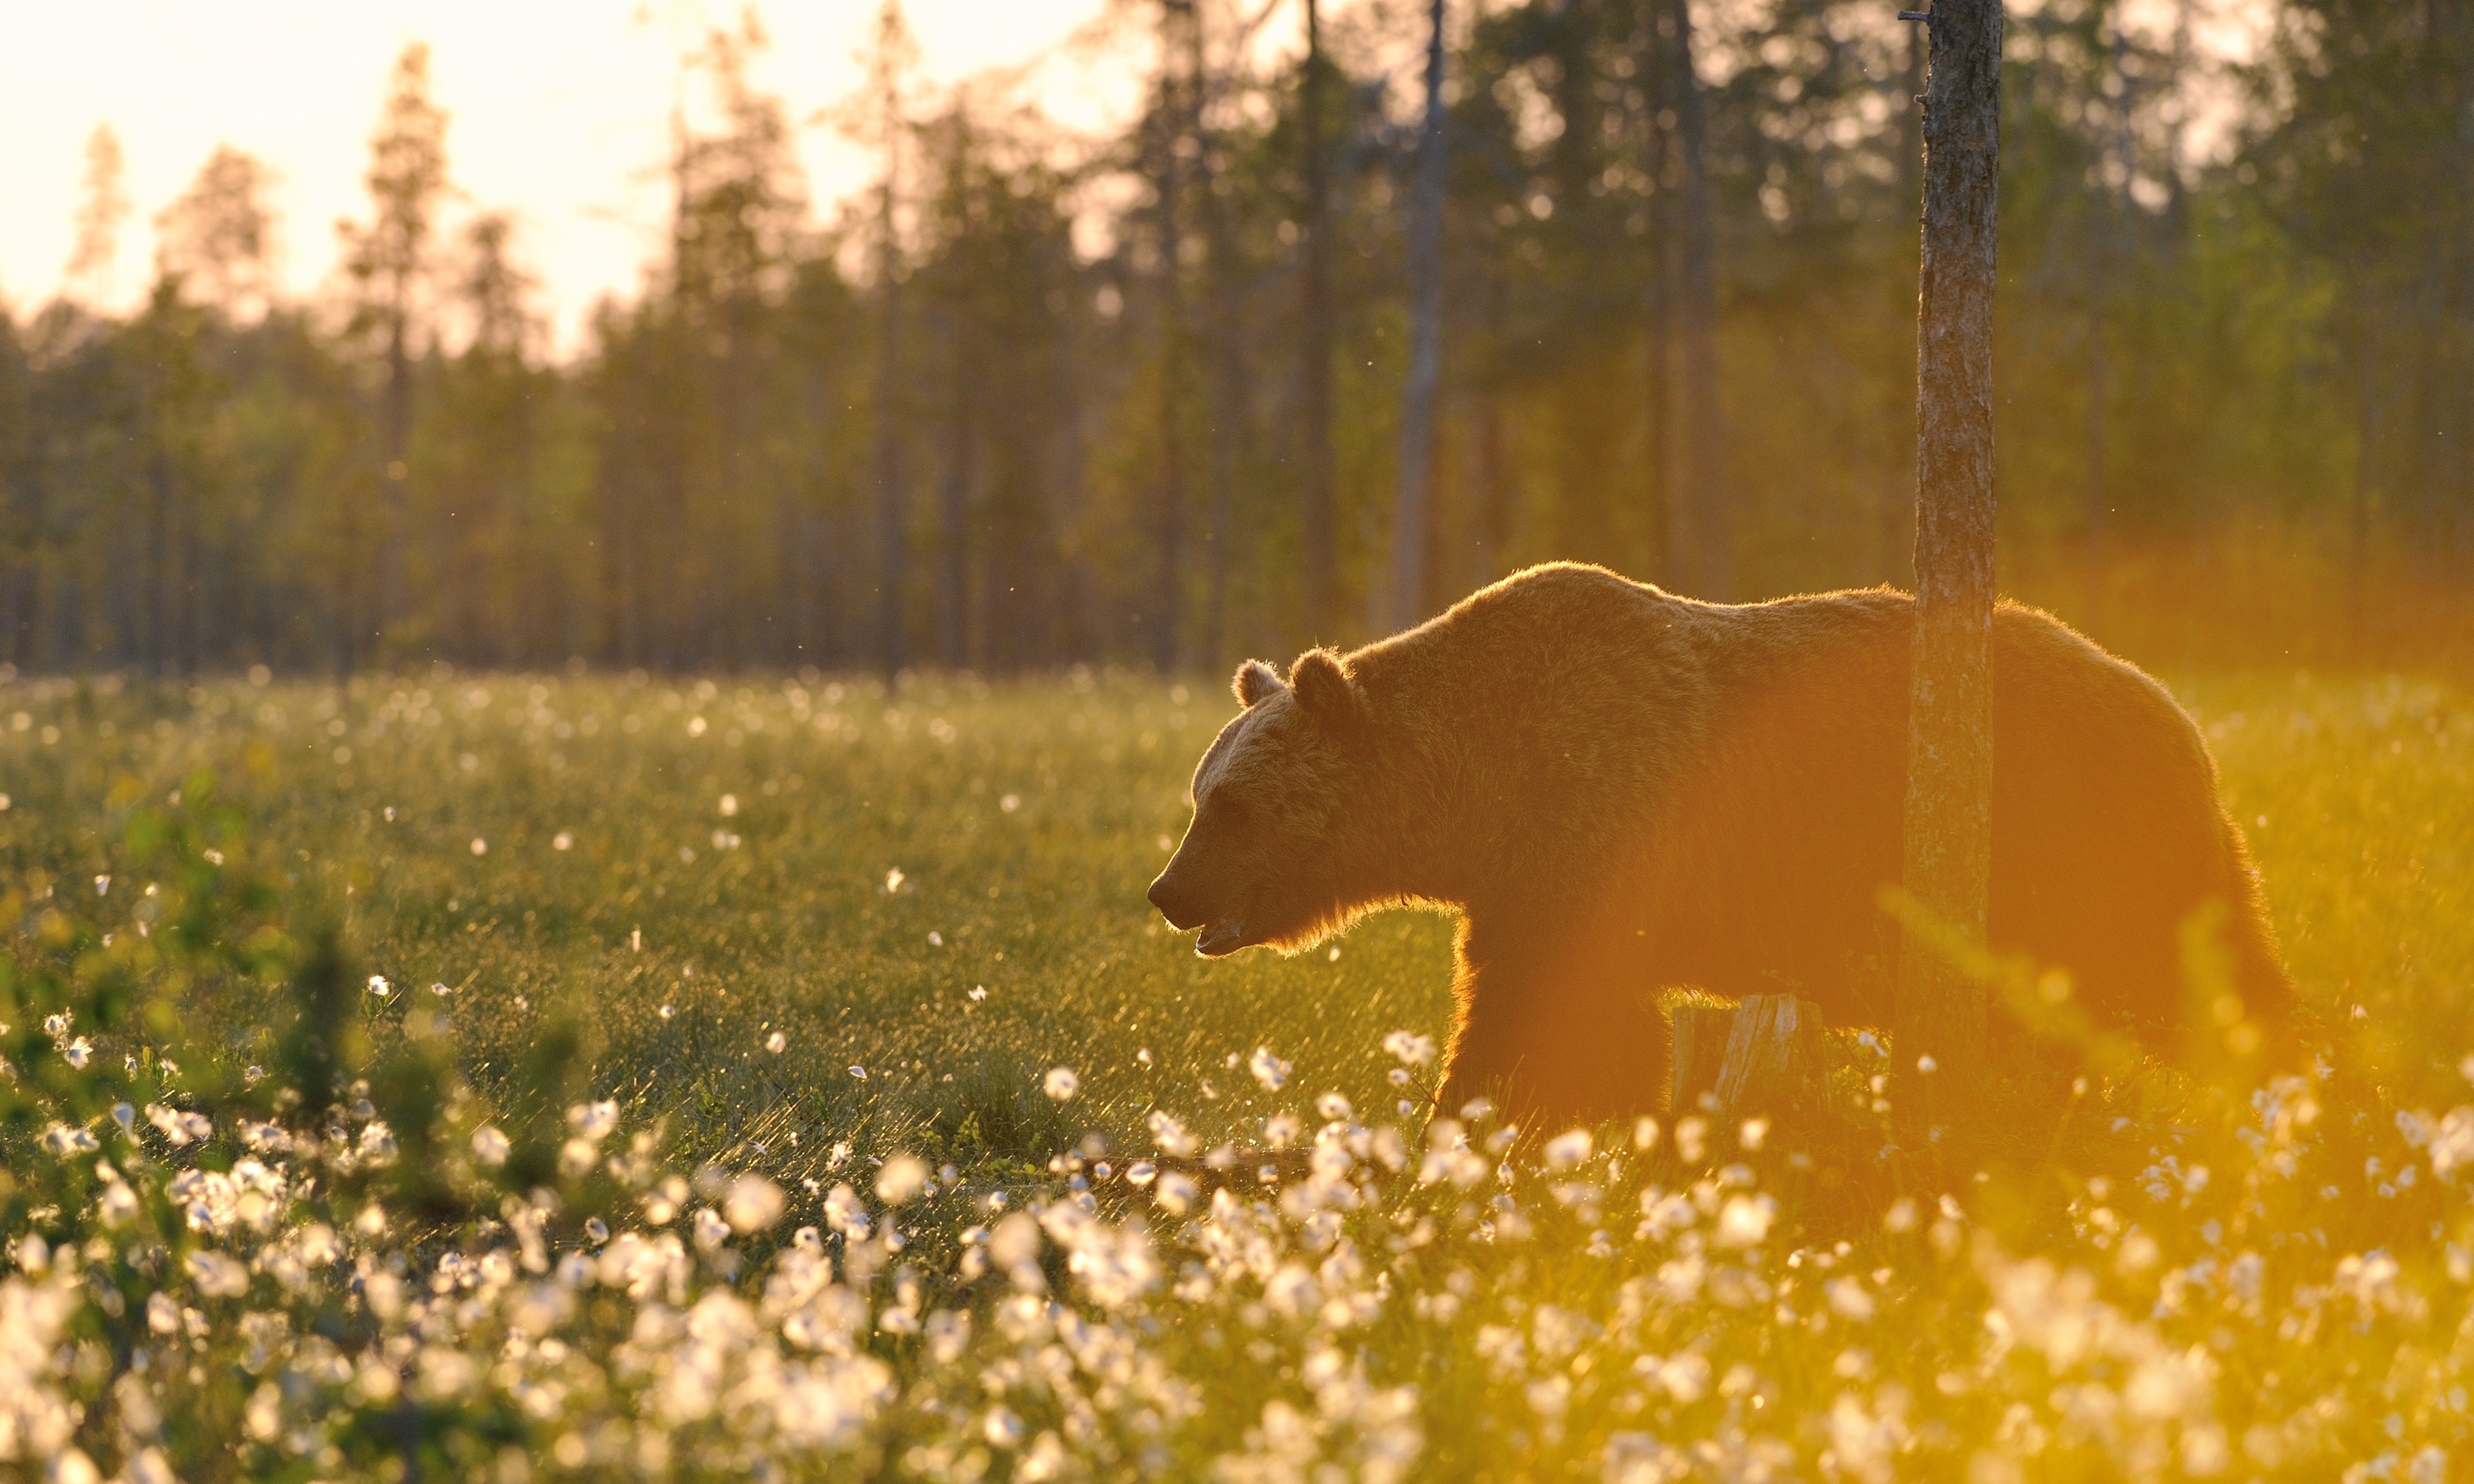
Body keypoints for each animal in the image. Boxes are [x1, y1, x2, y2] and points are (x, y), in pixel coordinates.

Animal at [1148, 561, 2286, 1132]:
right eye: (1199, 793)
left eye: (1234, 806)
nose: (1167, 890)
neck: (1475, 795)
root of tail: (2173, 712)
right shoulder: (1526, 883)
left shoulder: (1595, 830)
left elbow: (1543, 1021)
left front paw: (1466, 1135)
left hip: (2082, 849)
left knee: (2206, 987)